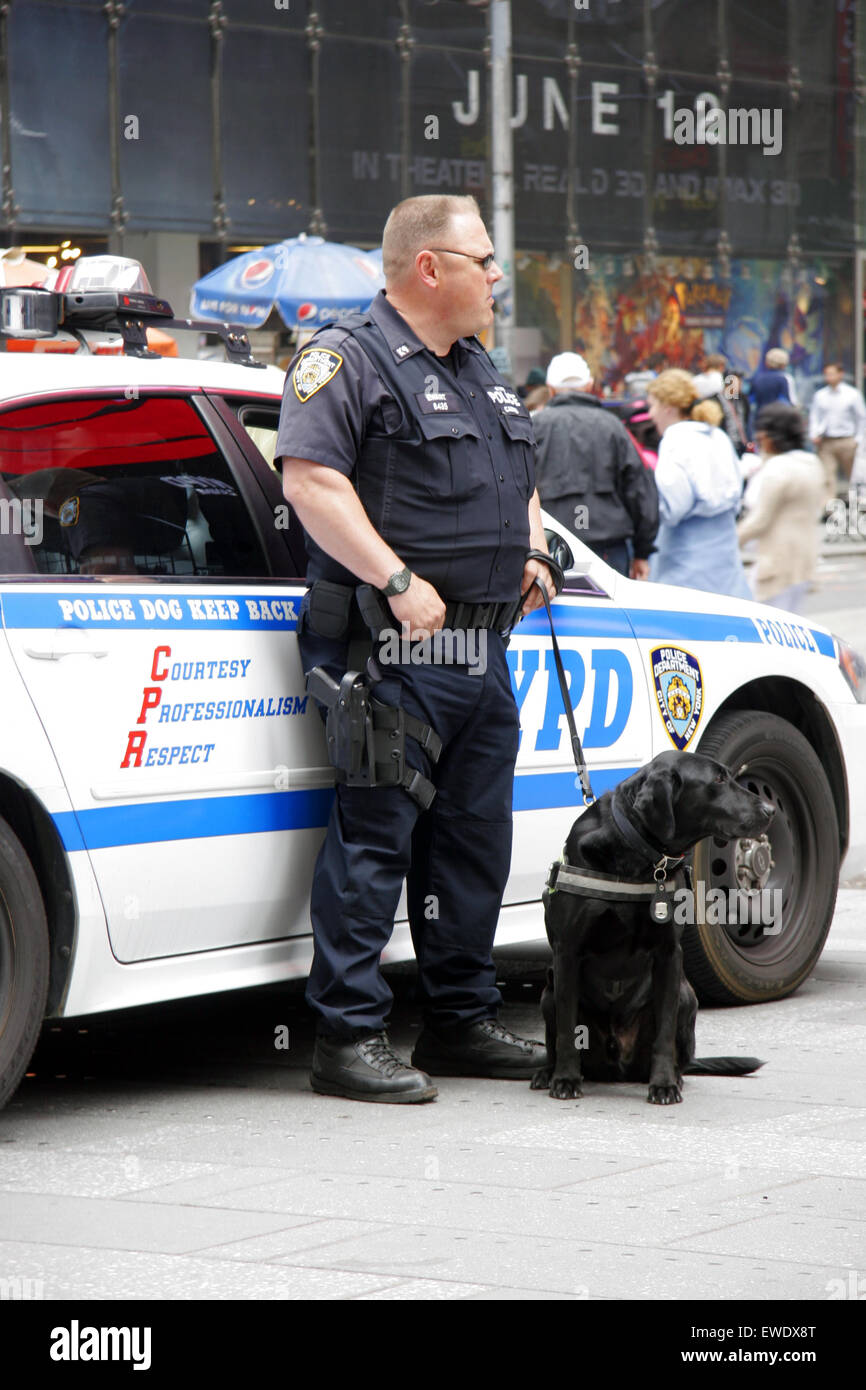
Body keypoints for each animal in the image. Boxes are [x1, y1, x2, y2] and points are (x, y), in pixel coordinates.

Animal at [530, 750, 778, 1106]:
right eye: (718, 780)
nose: (771, 810)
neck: (638, 856)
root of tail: (617, 1066)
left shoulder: (668, 955)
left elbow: (664, 1031)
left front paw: (663, 1085)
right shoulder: (567, 952)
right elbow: (567, 1030)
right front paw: (565, 1079)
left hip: (687, 995)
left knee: (680, 1055)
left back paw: (675, 1075)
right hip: (549, 990)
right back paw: (546, 1072)